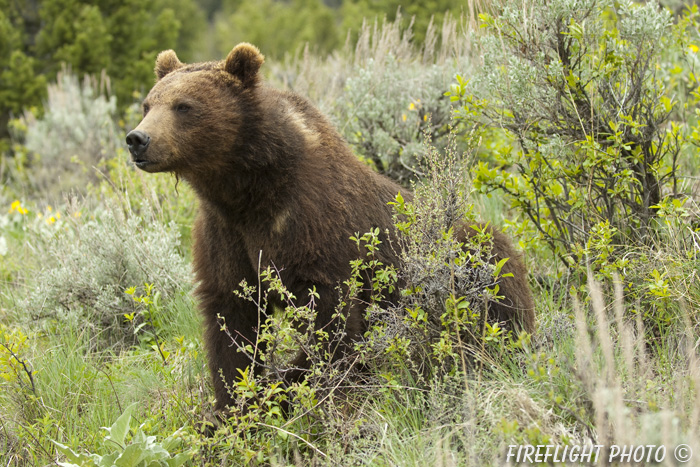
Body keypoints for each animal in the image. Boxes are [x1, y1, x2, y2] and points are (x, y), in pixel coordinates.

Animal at [124, 44, 536, 414]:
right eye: (148, 104)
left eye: (184, 106)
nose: (137, 139)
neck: (248, 188)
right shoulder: (225, 233)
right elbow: (232, 319)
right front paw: (233, 406)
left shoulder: (313, 223)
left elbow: (330, 320)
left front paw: (289, 383)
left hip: (468, 258)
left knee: (495, 277)